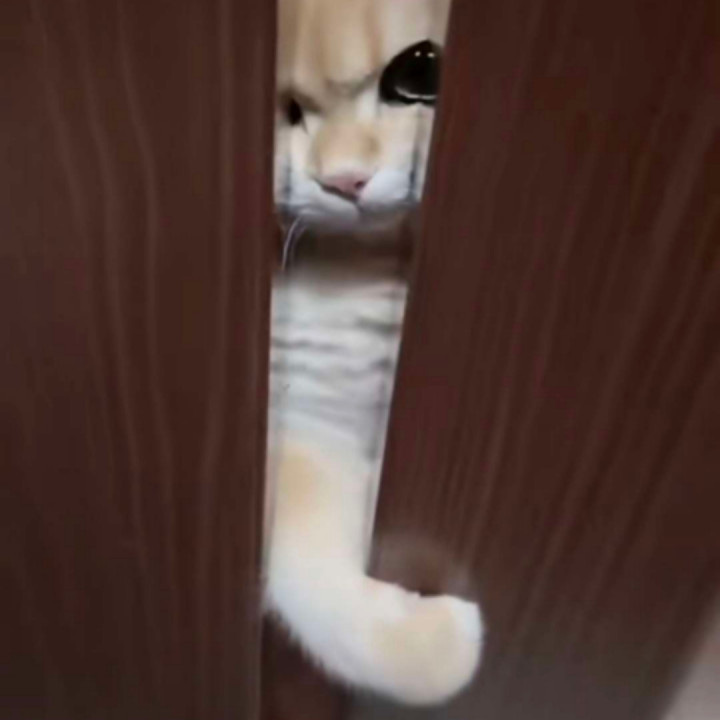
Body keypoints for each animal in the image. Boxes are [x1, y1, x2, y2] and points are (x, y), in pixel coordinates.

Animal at [265, 0, 483, 706]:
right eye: (289, 112)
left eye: (420, 72)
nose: (342, 182)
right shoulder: (306, 425)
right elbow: (309, 572)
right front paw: (443, 640)